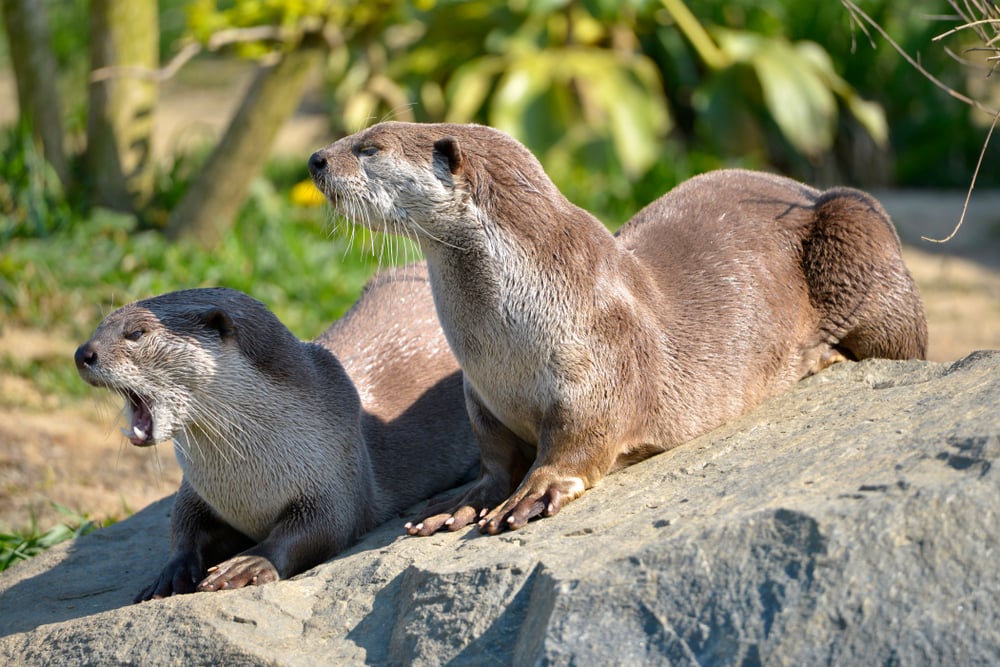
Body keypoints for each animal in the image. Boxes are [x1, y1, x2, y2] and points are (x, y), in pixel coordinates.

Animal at [75, 263, 477, 600]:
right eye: (99, 326)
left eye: (136, 333)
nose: (82, 353)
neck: (246, 485)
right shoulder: (197, 490)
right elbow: (183, 524)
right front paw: (172, 573)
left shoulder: (337, 470)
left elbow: (321, 528)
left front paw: (249, 563)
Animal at [307, 122, 927, 535]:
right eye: (357, 135)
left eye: (369, 149)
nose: (315, 159)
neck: (505, 347)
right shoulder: (480, 396)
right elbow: (493, 454)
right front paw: (462, 502)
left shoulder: (599, 362)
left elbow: (580, 440)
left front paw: (533, 494)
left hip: (858, 230)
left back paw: (825, 356)